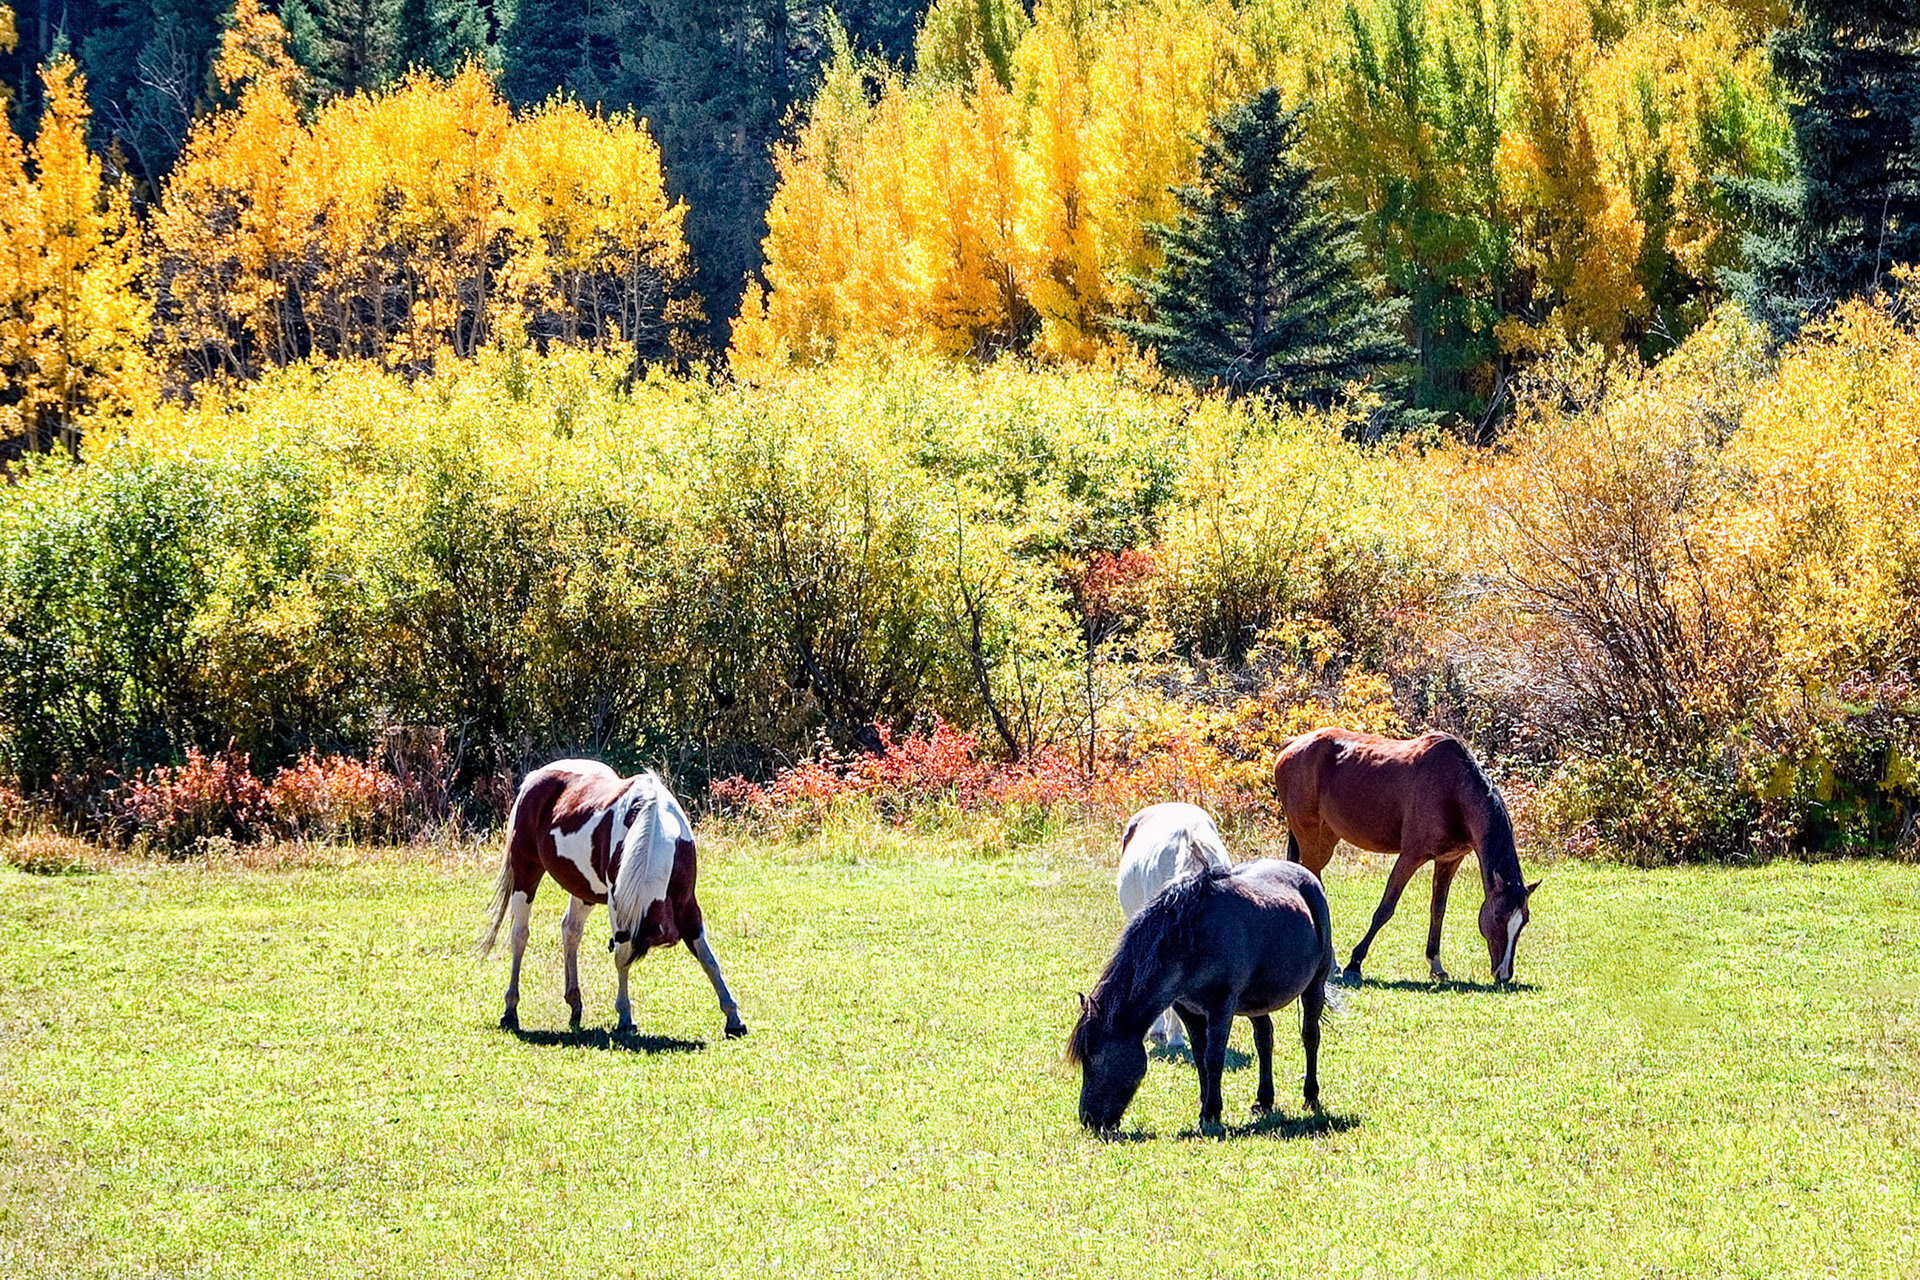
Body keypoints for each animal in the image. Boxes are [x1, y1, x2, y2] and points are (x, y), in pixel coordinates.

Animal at [478, 759, 747, 1038]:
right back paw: (510, 1011)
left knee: (570, 931)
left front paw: (733, 1018)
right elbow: (621, 958)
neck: (652, 827)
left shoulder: (686, 905)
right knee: (519, 936)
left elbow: (708, 958)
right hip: (525, 874)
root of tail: (536, 777)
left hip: (583, 890)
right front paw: (625, 1016)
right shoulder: (620, 909)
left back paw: (574, 1002)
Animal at [1068, 859, 1333, 1131]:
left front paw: (1211, 1112)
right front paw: (1205, 1107)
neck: (1190, 940)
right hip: (1257, 1003)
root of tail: (1304, 874)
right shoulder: (1188, 1010)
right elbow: (1199, 1056)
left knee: (1310, 1036)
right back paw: (1264, 1100)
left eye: (1095, 1058)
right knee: (1264, 1039)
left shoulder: (1220, 1008)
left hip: (1315, 986)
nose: (1089, 1119)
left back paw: (1311, 1097)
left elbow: (1213, 1057)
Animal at [1274, 727, 1538, 984]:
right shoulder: (1410, 857)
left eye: (1524, 920)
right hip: (1309, 836)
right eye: (1497, 918)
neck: (1453, 791)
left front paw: (1436, 965)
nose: (1504, 974)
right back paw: (1332, 964)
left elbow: (1438, 909)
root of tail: (1292, 743)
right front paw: (1354, 964)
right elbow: (1385, 909)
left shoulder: (1449, 860)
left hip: (1326, 838)